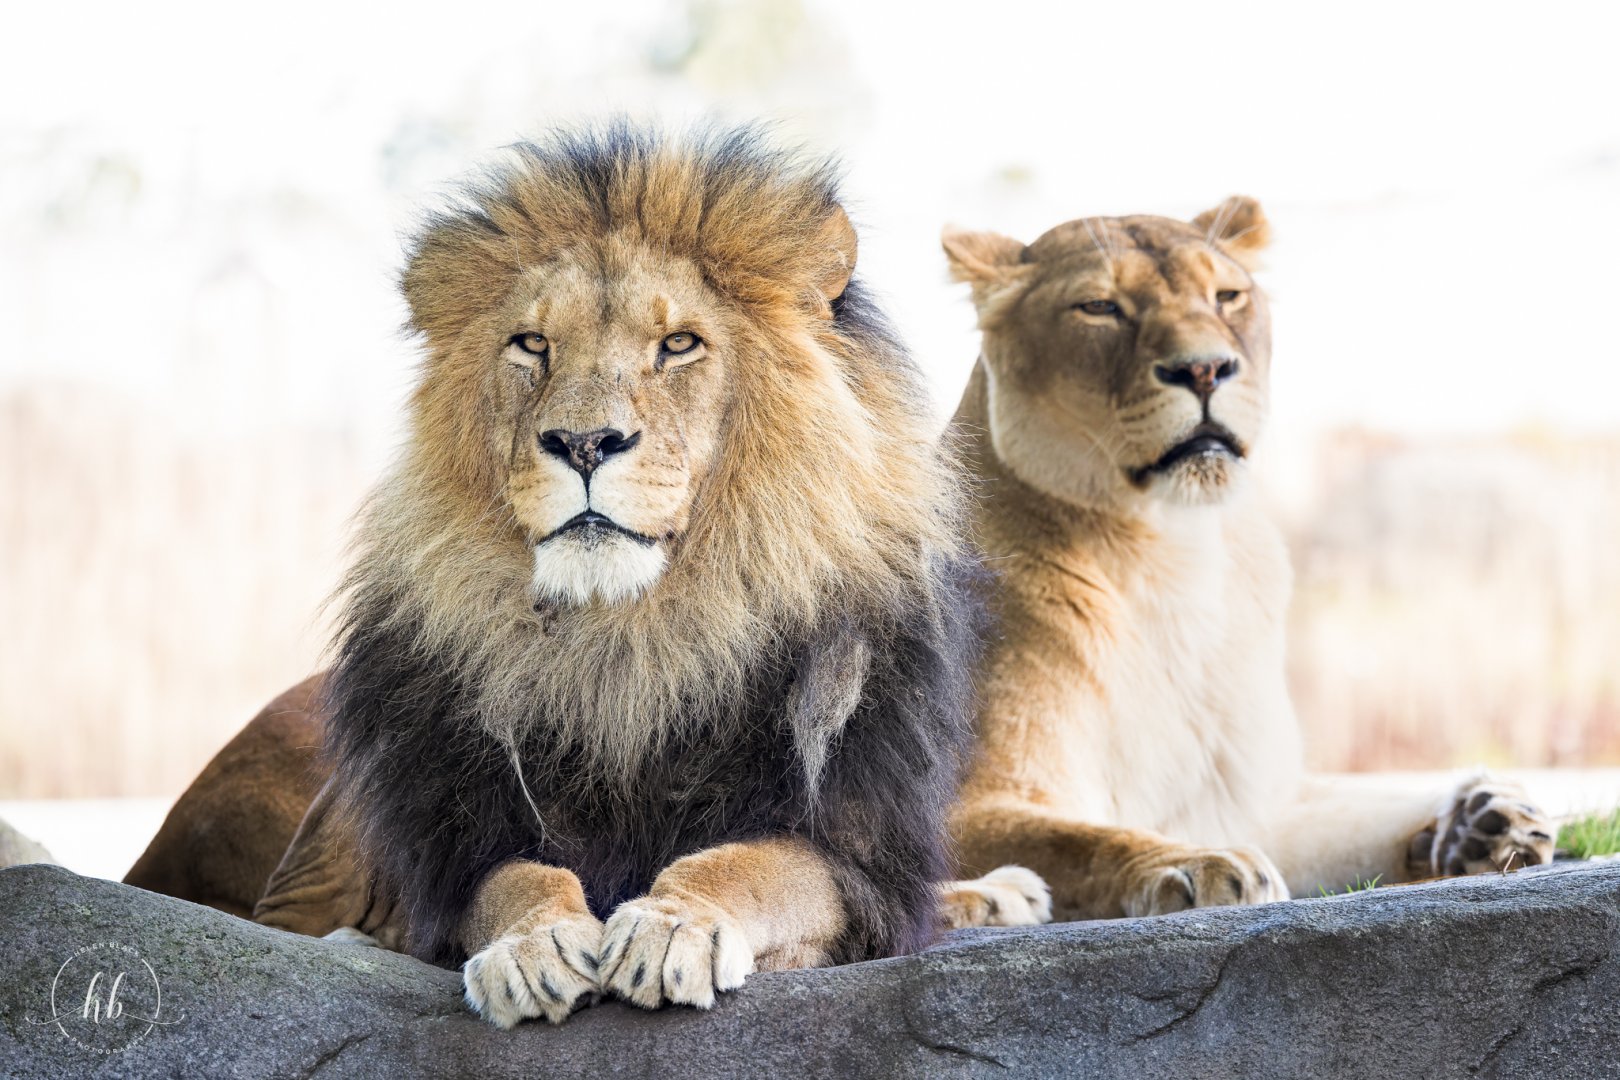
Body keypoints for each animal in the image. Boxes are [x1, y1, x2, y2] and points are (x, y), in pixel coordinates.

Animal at [125, 124, 1048, 1028]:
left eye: (678, 345)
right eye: (532, 345)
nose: (582, 443)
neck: (630, 638)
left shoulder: (856, 855)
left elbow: (748, 866)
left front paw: (674, 925)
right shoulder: (457, 836)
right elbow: (513, 882)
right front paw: (532, 946)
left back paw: (1005, 893)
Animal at [936, 198, 1558, 920]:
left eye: (1226, 296)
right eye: (1099, 306)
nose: (1204, 369)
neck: (1173, 554)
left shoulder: (1255, 799)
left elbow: (1356, 818)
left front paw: (1483, 822)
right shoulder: (973, 801)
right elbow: (1083, 841)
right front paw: (1193, 862)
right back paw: (993, 898)